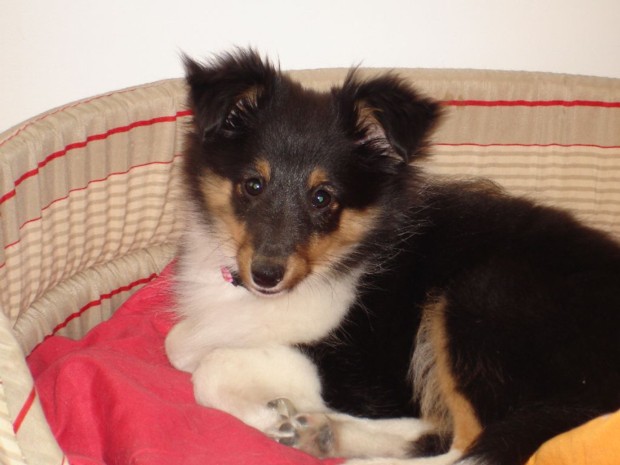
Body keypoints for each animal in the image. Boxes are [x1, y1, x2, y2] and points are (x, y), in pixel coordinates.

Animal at [165, 49, 620, 465]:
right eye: (253, 184)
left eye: (322, 197)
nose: (266, 275)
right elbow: (178, 344)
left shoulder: (358, 372)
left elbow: (214, 366)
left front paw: (268, 412)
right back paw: (323, 434)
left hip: (481, 300)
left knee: (465, 445)